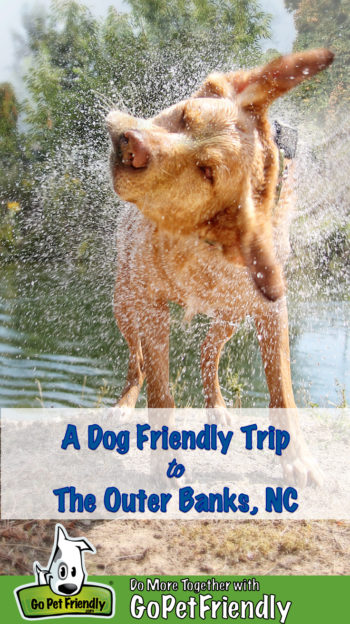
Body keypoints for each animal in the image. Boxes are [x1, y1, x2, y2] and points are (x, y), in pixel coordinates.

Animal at [106, 50, 334, 488]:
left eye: (206, 171)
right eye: (184, 116)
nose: (132, 144)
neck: (199, 239)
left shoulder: (271, 310)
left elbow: (283, 391)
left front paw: (297, 459)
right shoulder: (152, 306)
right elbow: (161, 392)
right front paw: (165, 463)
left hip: (231, 313)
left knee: (207, 350)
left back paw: (217, 407)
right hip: (125, 304)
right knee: (136, 361)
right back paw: (125, 403)